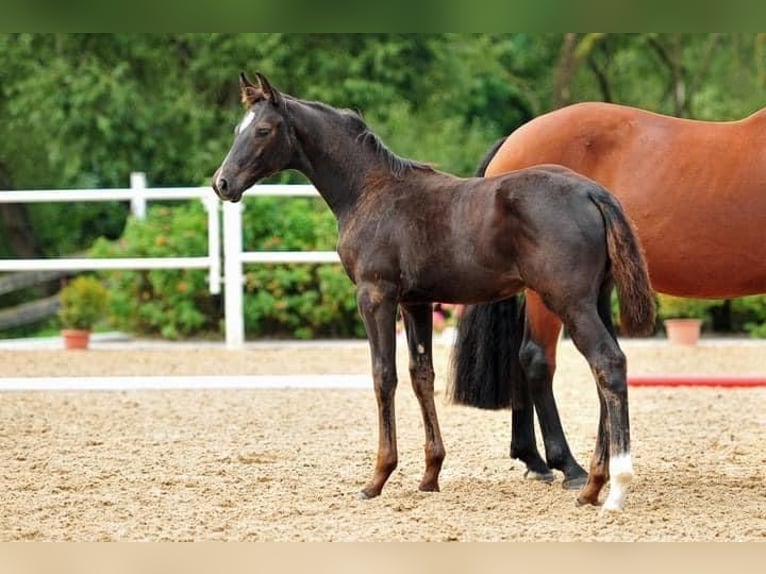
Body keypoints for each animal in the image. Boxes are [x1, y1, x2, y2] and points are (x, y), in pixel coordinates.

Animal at [213, 73, 656, 512]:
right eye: (237, 129)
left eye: (263, 130)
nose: (222, 183)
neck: (370, 190)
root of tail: (593, 193)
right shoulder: (416, 302)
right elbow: (421, 375)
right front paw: (430, 474)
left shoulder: (375, 296)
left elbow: (383, 375)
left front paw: (377, 478)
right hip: (596, 300)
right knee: (608, 369)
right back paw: (593, 484)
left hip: (569, 301)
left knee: (607, 363)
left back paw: (612, 487)